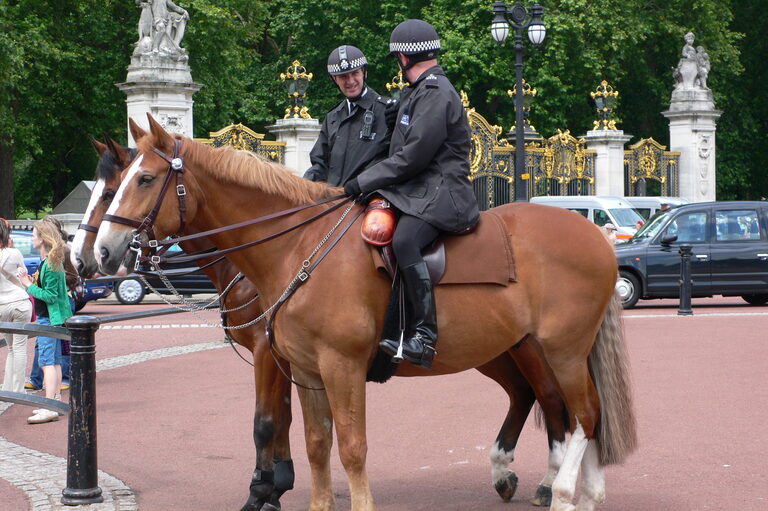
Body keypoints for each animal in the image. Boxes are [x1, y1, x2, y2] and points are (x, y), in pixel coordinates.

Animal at [95, 115, 636, 511]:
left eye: (143, 179)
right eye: (114, 184)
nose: (100, 252)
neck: (299, 245)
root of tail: (596, 233)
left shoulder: (339, 366)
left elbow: (343, 445)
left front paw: (268, 491)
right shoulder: (307, 370)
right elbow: (314, 442)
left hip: (560, 350)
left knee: (581, 412)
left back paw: (562, 492)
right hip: (515, 349)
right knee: (566, 407)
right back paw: (578, 491)